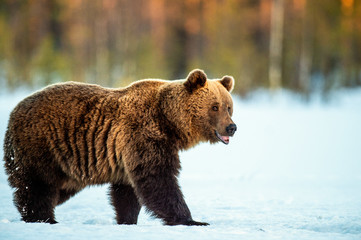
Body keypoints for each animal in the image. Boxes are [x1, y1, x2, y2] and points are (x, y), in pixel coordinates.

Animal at [3, 69, 236, 225]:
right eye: (214, 107)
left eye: (229, 107)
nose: (231, 127)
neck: (169, 123)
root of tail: (14, 111)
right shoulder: (144, 135)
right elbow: (158, 180)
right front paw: (192, 220)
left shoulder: (127, 154)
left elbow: (127, 192)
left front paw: (127, 219)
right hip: (43, 144)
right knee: (39, 186)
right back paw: (43, 218)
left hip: (67, 166)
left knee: (55, 190)